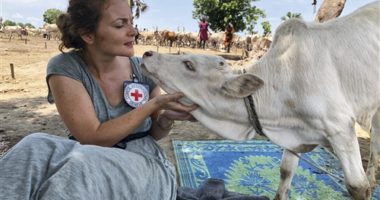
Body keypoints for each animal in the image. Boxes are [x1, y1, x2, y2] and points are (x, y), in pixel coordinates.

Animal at [142, 1, 380, 198]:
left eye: (189, 65)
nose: (147, 54)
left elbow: (358, 187)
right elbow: (285, 172)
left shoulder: (341, 128)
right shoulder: (295, 135)